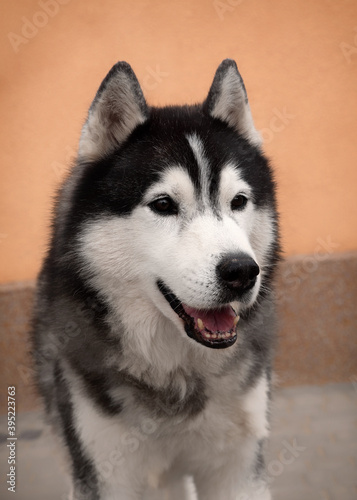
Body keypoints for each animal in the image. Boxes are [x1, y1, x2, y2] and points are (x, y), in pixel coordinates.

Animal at [32, 59, 280, 500]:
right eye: (163, 204)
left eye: (238, 201)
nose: (242, 272)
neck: (176, 374)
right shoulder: (106, 471)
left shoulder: (237, 469)